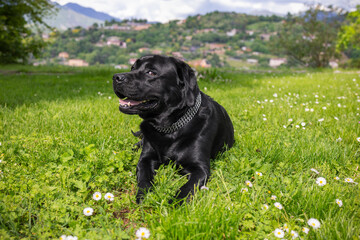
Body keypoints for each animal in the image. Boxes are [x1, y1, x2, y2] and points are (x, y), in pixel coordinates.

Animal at [114, 55, 235, 203]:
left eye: (151, 72)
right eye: (132, 68)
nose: (116, 77)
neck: (169, 129)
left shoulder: (200, 168)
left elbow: (188, 187)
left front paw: (174, 203)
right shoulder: (145, 159)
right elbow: (144, 179)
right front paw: (145, 196)